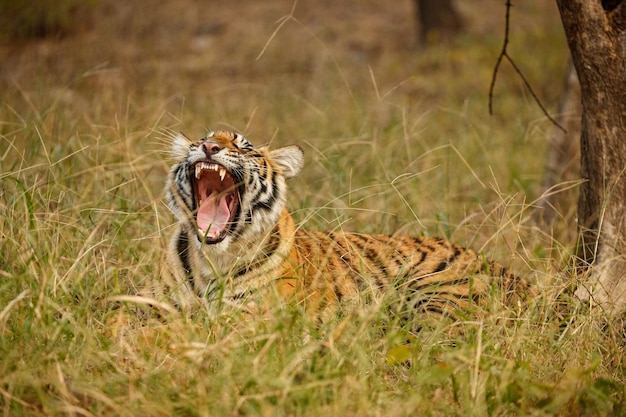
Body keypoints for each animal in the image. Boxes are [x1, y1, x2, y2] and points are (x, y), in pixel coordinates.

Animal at [156, 130, 532, 322]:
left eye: (243, 146)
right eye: (200, 140)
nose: (208, 146)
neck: (213, 257)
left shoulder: (250, 319)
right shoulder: (159, 309)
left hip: (435, 293)